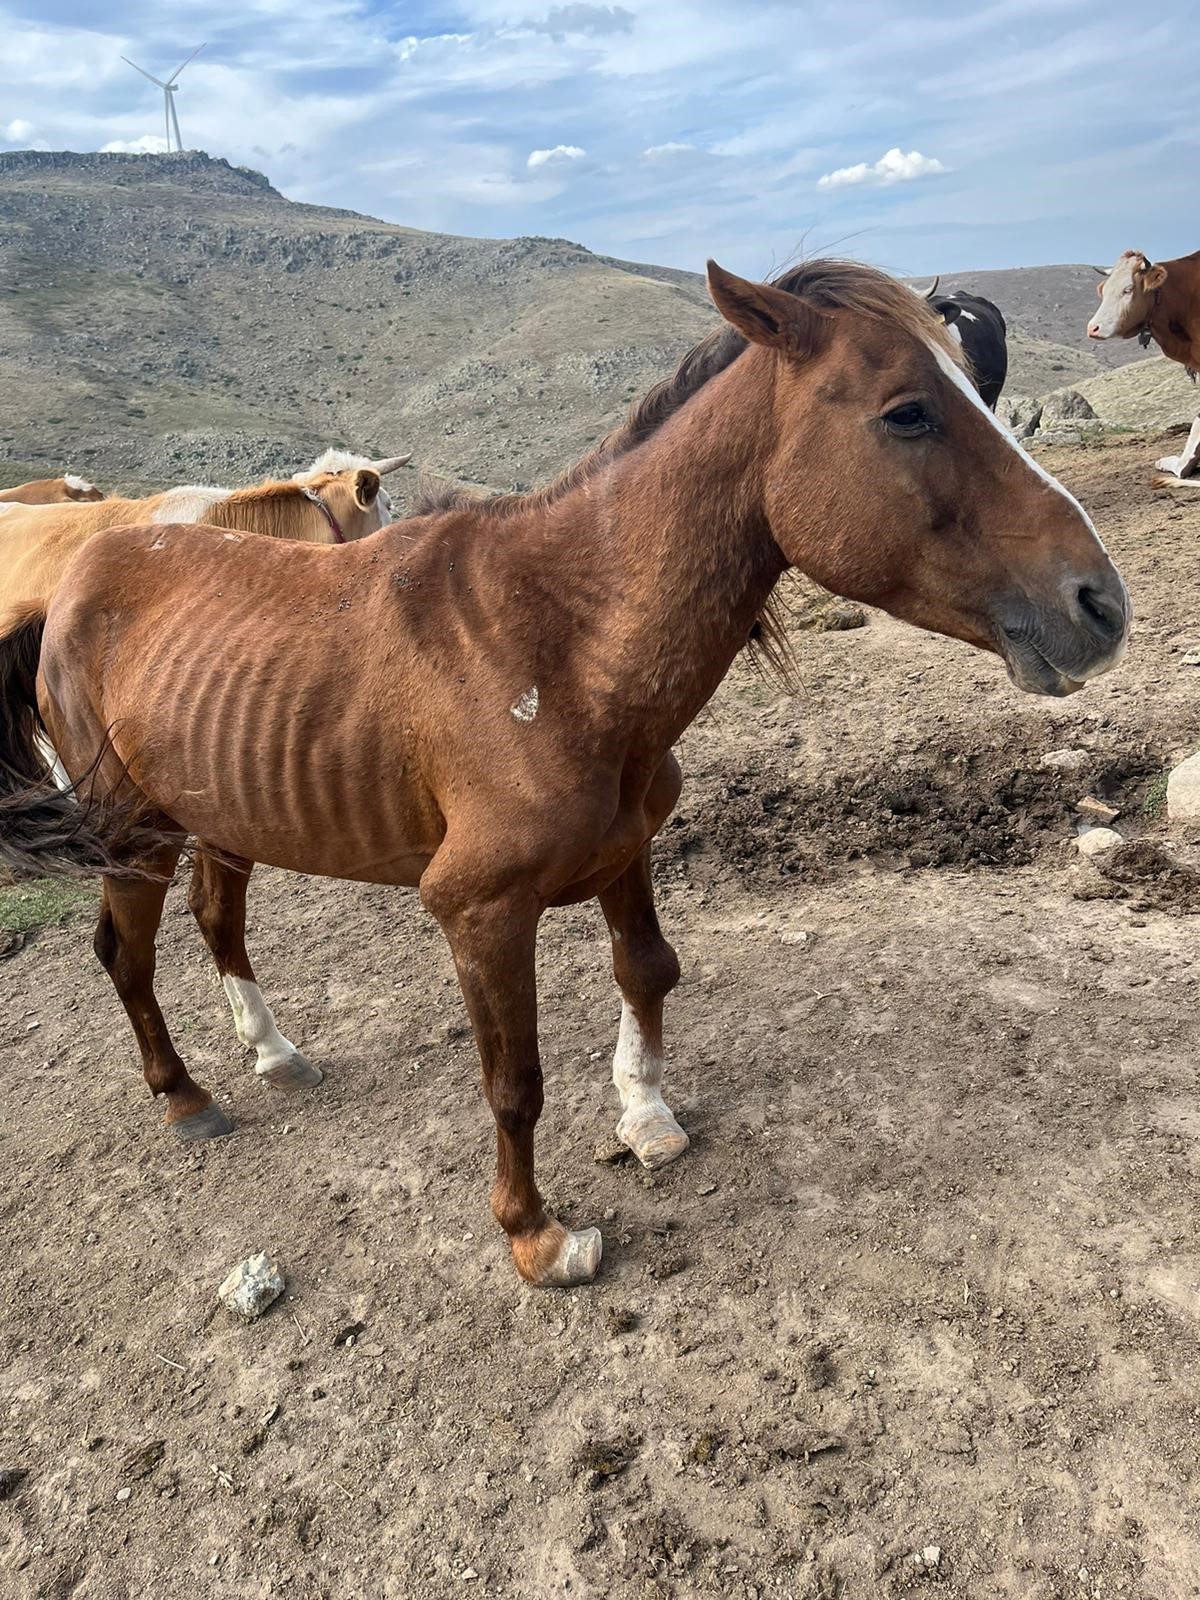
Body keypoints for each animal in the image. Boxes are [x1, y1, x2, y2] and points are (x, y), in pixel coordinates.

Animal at [0, 262, 1132, 1286]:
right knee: (126, 955)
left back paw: (273, 1052)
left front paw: (647, 1115)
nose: (1101, 604)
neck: (561, 647)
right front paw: (535, 1236)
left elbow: (649, 971)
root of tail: (73, 584)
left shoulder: (628, 849)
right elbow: (515, 1080)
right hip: (133, 829)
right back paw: (184, 1096)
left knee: (217, 922)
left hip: (222, 807)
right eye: (907, 413)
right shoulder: (478, 910)